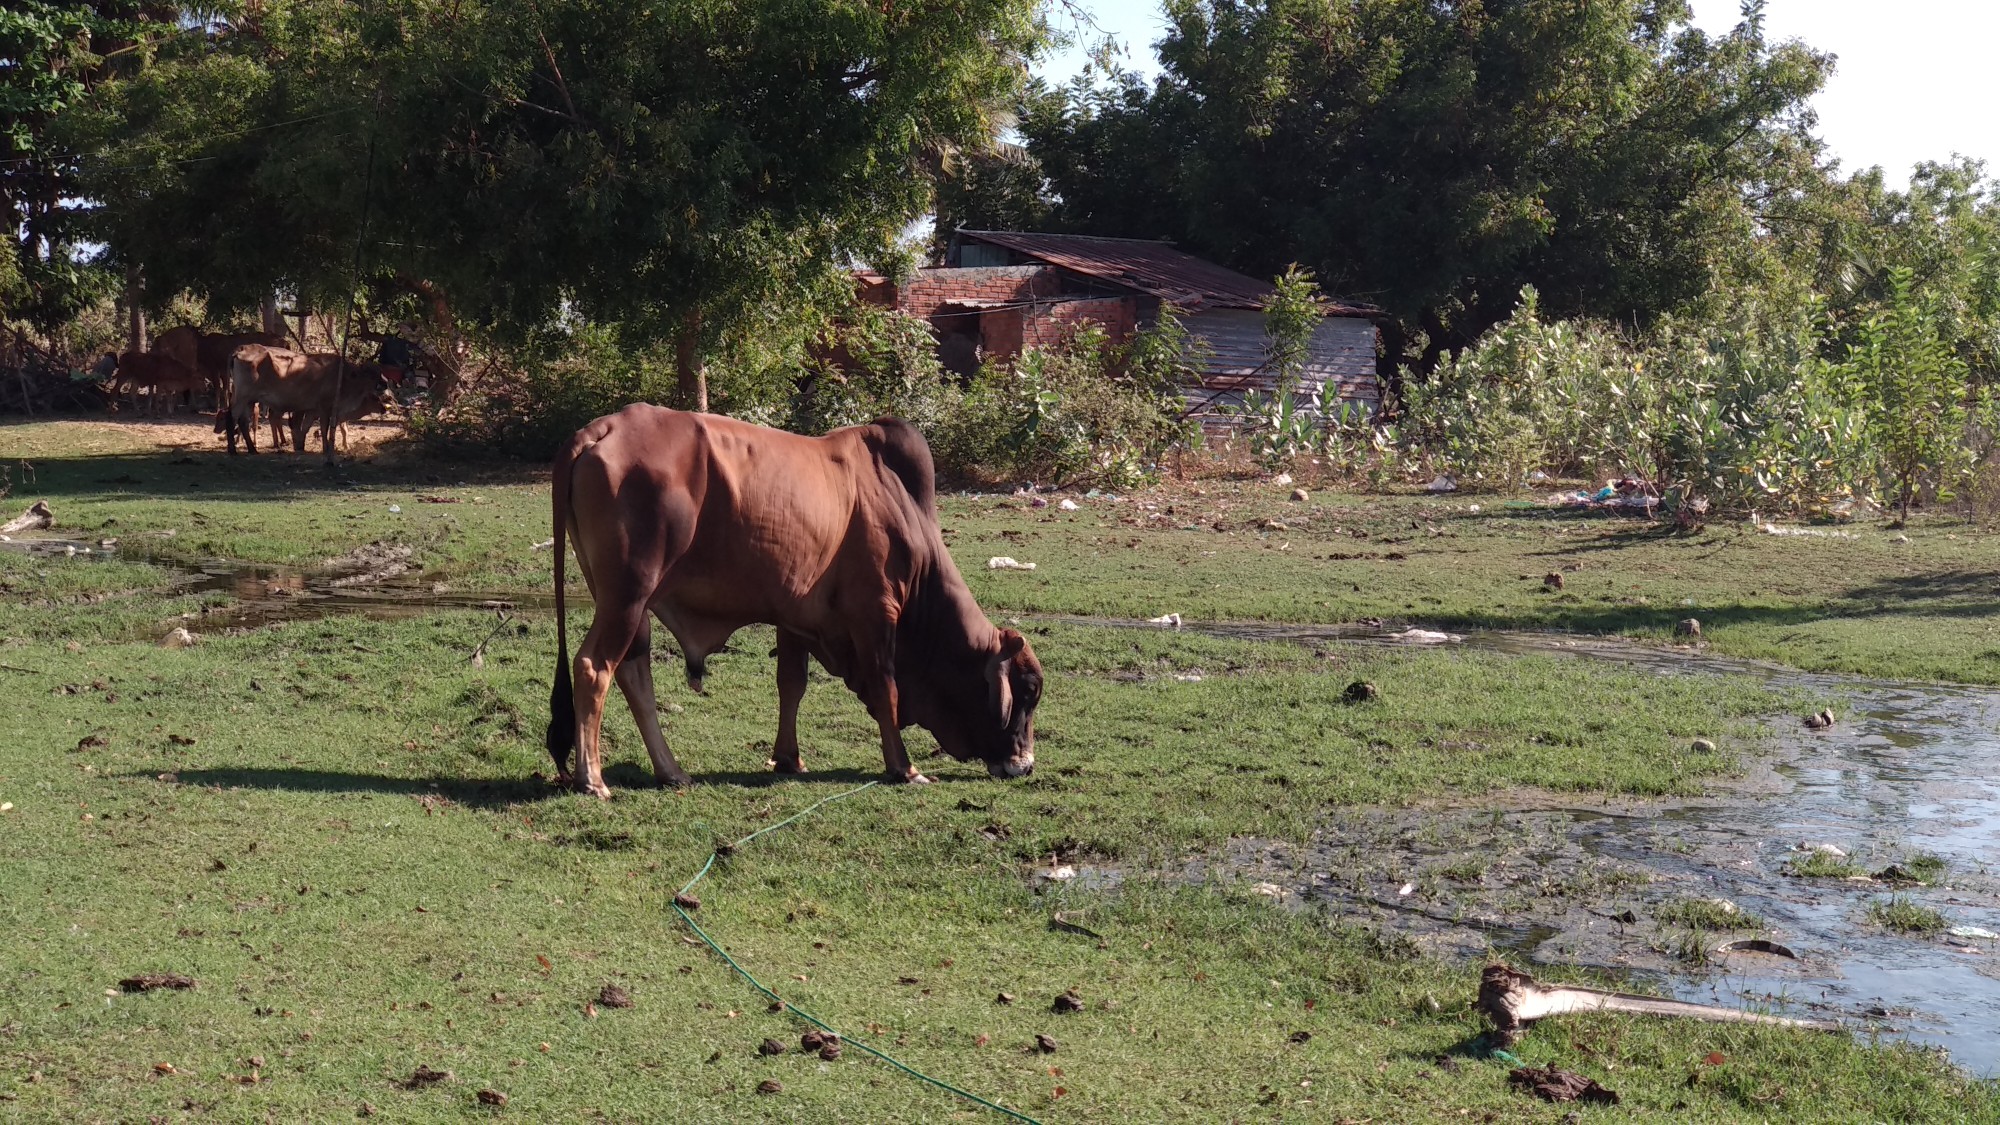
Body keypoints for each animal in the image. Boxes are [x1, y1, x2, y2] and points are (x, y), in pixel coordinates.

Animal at [223, 346, 398, 460]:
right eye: (371, 373)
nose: (386, 383)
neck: (343, 377)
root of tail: (240, 350)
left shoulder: (312, 410)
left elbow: (305, 428)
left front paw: (301, 447)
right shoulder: (325, 408)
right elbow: (324, 429)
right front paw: (326, 449)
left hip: (249, 400)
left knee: (243, 422)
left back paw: (252, 449)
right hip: (242, 397)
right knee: (231, 417)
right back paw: (232, 450)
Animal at [548, 406, 1048, 792]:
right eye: (1027, 691)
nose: (1025, 765)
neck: (899, 503)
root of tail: (603, 427)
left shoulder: (795, 618)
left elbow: (791, 685)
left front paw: (789, 758)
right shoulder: (876, 613)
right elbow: (886, 690)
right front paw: (904, 768)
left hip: (628, 603)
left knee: (634, 673)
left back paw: (671, 771)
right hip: (628, 595)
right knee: (594, 667)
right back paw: (592, 779)